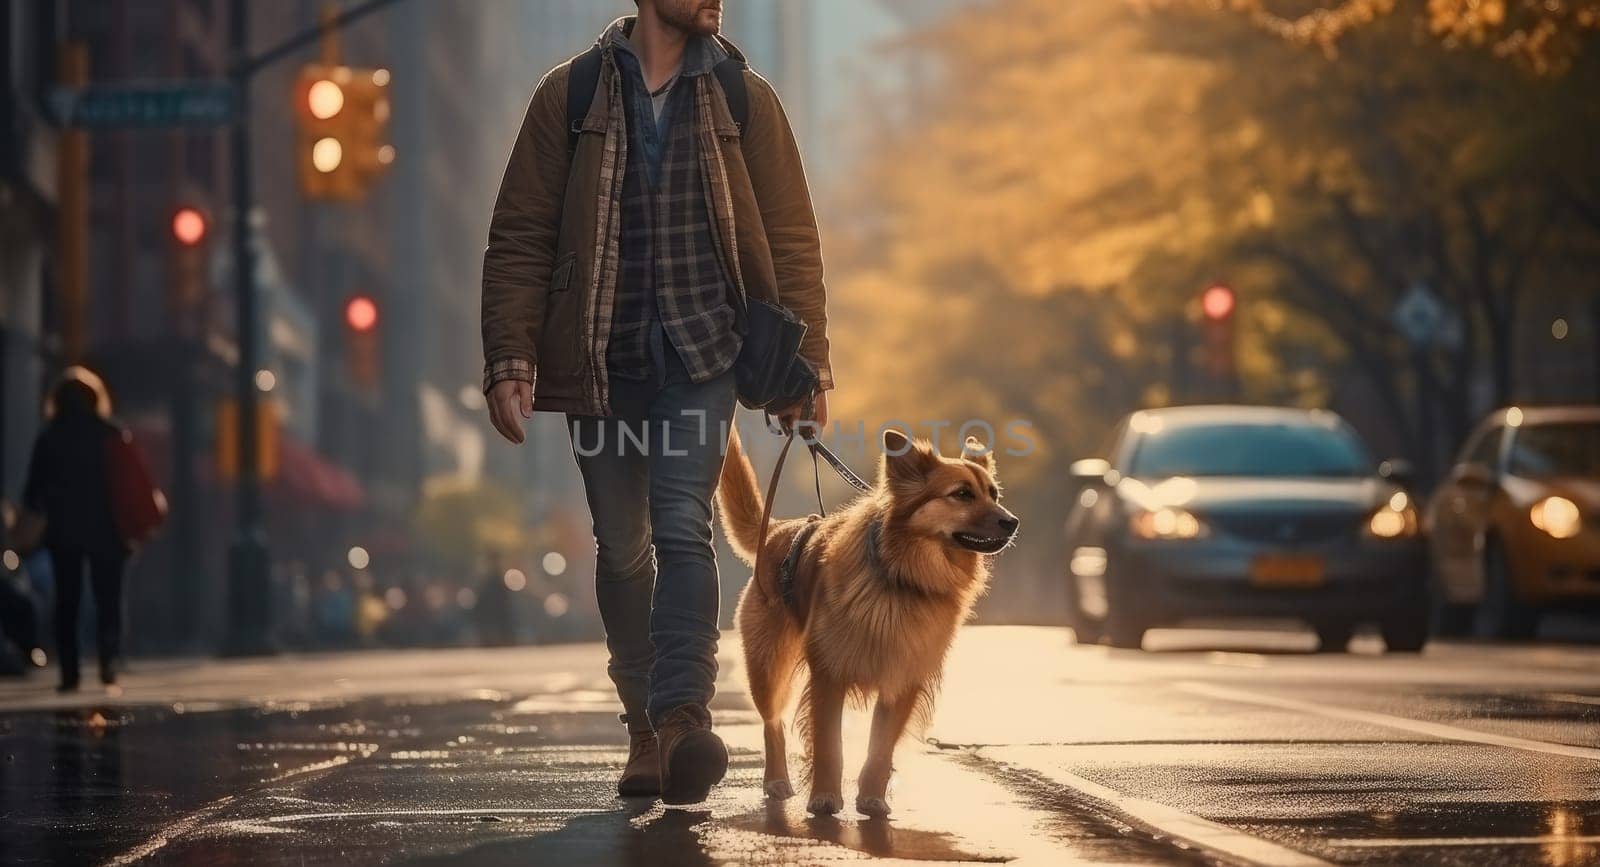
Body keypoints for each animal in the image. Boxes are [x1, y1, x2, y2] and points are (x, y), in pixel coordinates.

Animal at [720, 431, 1017, 819]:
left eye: (994, 494)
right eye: (962, 494)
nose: (1013, 522)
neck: (903, 578)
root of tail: (778, 529)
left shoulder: (903, 679)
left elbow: (880, 746)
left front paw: (873, 798)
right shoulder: (829, 675)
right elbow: (829, 745)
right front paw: (824, 798)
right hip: (768, 669)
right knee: (773, 723)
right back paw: (776, 780)